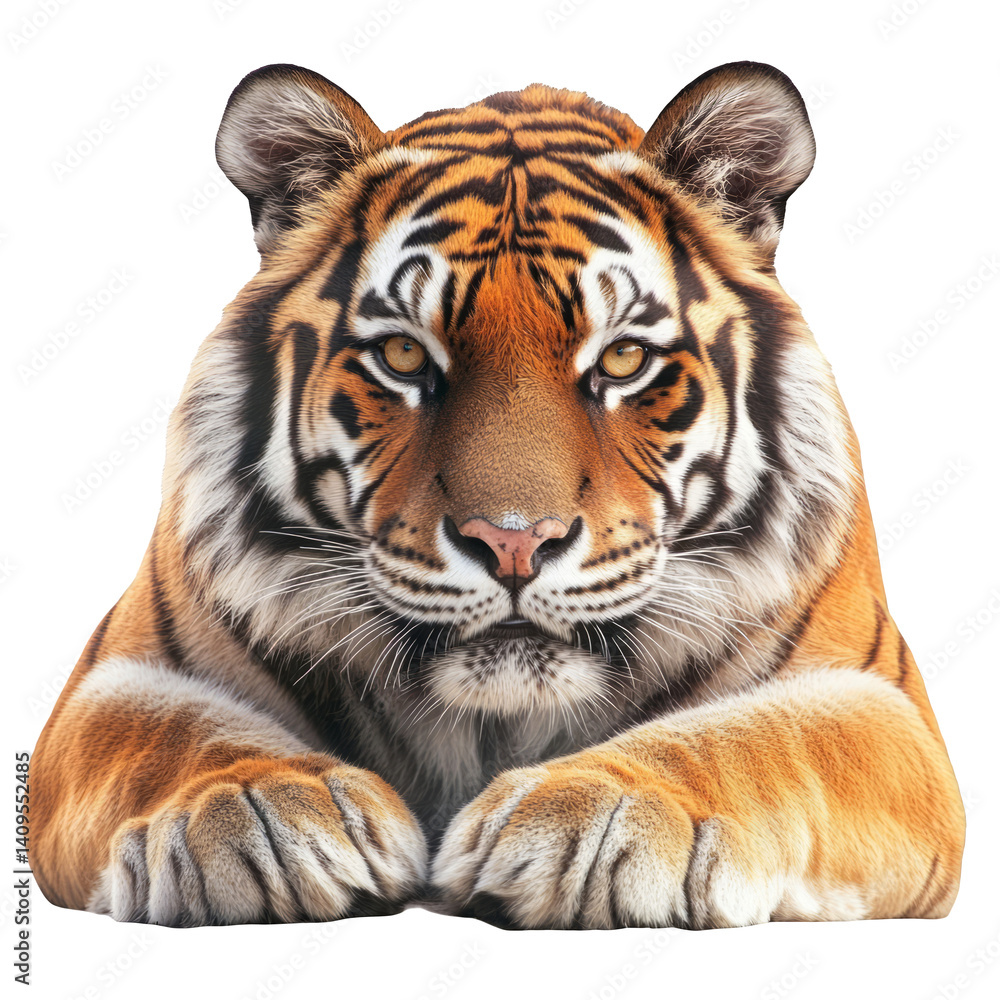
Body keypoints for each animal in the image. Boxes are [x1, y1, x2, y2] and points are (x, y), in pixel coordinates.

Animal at [32, 60, 965, 930]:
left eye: (623, 359)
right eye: (404, 356)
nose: (514, 541)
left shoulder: (885, 708)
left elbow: (757, 737)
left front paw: (598, 818)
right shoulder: (107, 682)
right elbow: (172, 732)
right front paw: (260, 809)